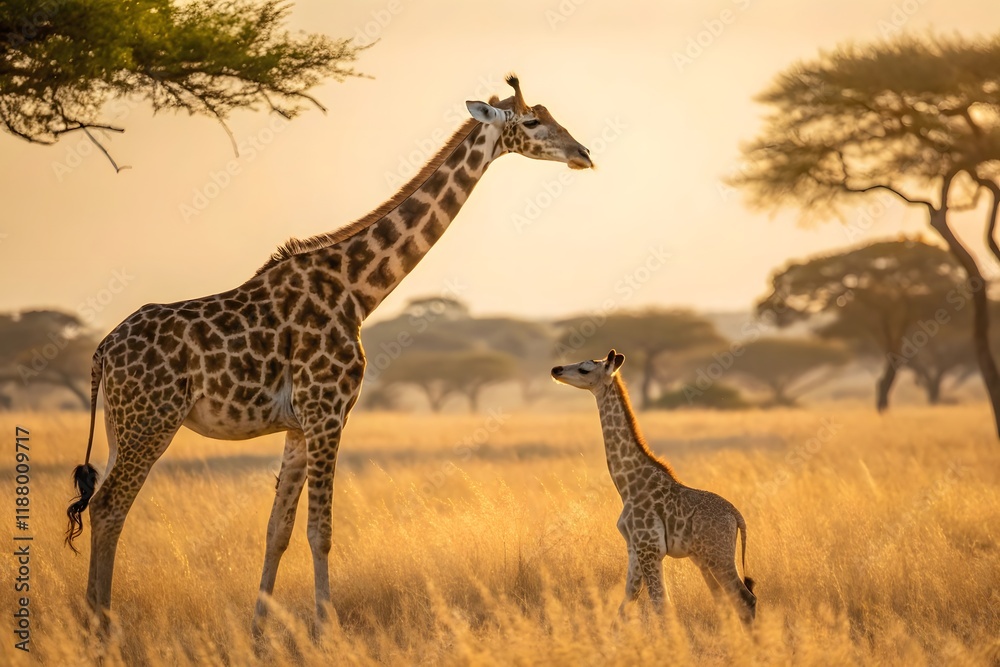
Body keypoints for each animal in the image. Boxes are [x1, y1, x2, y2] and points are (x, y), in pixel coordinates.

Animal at [64, 75, 593, 634]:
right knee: (109, 507)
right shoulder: (328, 413)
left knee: (101, 505)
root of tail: (102, 351)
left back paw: (95, 619)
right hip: (152, 421)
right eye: (532, 121)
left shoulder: (299, 425)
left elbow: (278, 529)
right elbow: (322, 530)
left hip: (122, 426)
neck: (357, 288)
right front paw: (326, 627)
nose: (583, 154)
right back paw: (102, 627)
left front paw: (260, 629)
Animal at [551, 350, 757, 625]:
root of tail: (737, 517)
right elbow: (628, 598)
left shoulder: (649, 547)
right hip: (705, 558)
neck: (628, 483)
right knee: (727, 601)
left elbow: (661, 604)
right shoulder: (634, 546)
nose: (556, 369)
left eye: (584, 369)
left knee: (746, 598)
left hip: (718, 555)